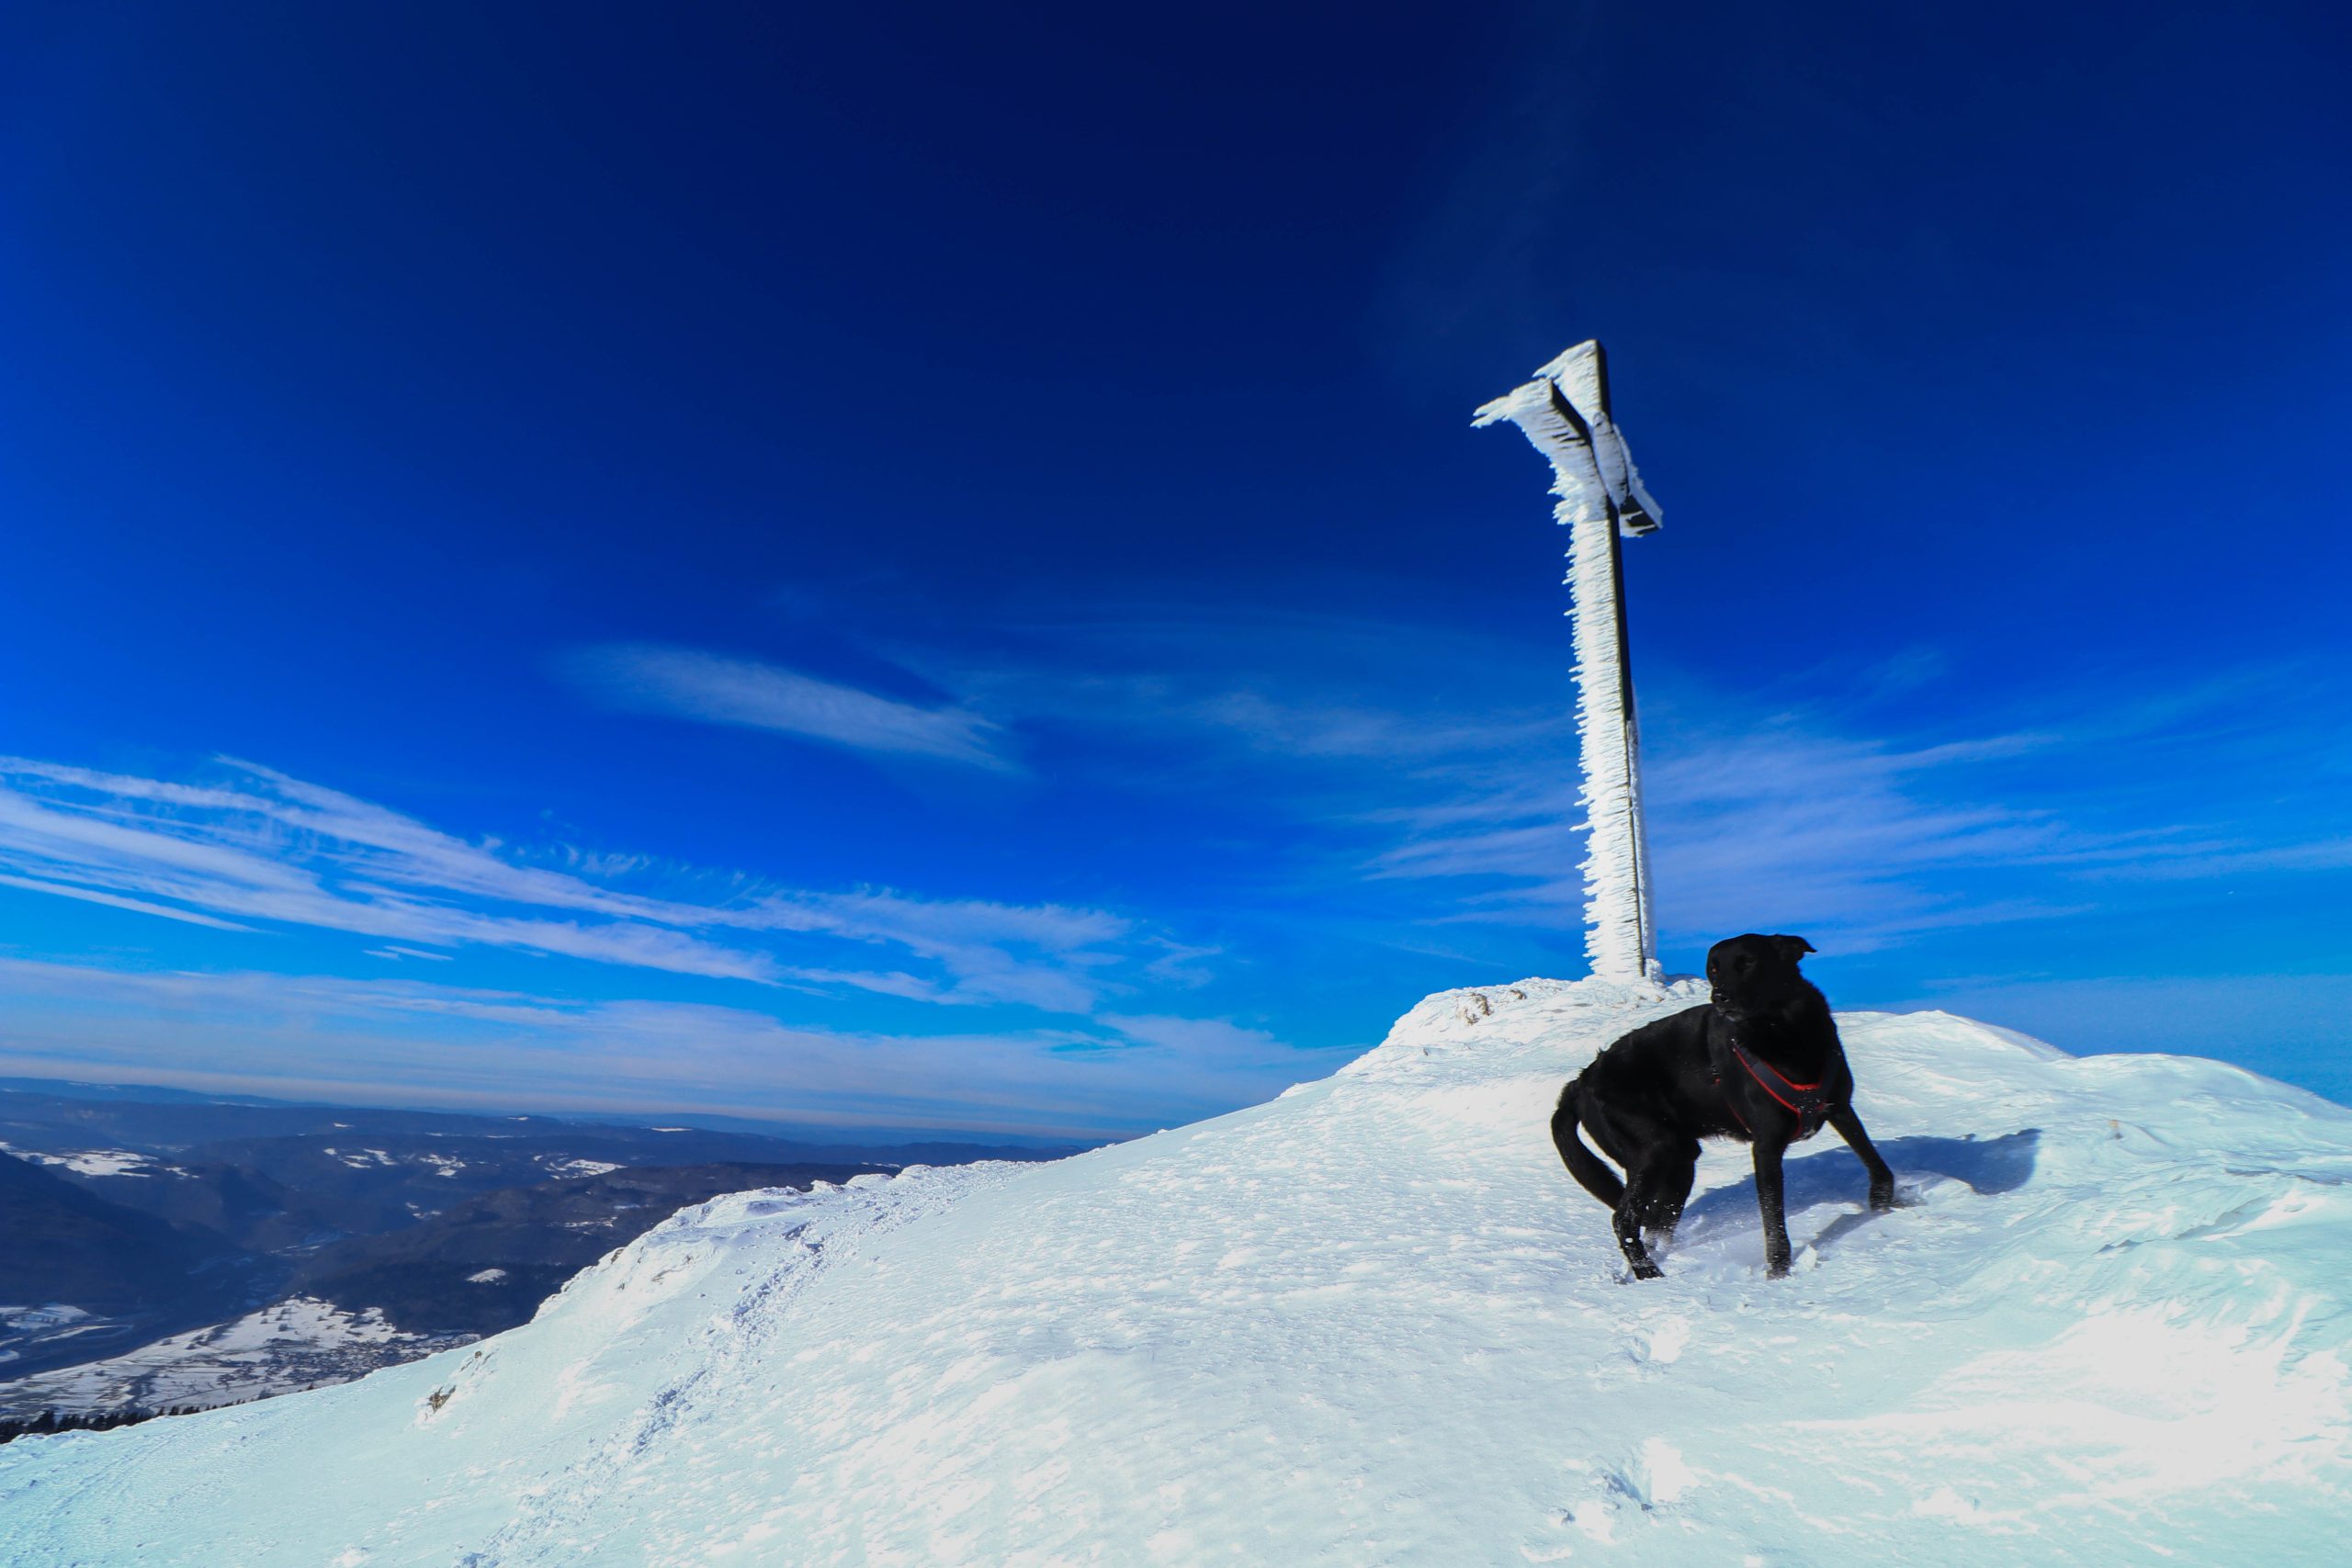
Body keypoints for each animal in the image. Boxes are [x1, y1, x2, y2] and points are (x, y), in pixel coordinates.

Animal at [1550, 933, 1896, 1278]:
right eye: (1713, 970)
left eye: (1748, 962)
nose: (1719, 996)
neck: (1782, 1033)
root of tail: (1581, 1082)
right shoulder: (1766, 1147)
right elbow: (1773, 1220)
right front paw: (1778, 1272)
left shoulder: (1840, 1108)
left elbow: (1873, 1158)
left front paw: (1883, 1203)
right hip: (1652, 1151)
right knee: (1624, 1219)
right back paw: (1649, 1273)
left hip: (1679, 1163)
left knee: (1657, 1223)